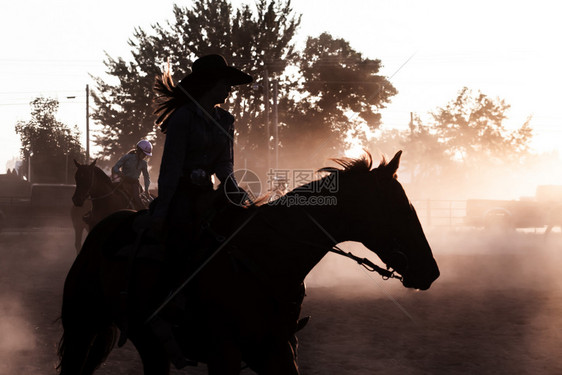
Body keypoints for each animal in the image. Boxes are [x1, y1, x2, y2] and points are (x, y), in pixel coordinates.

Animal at [59, 152, 440, 375]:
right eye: (399, 207)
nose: (432, 271)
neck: (267, 255)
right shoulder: (223, 354)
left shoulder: (277, 351)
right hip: (82, 325)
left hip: (148, 345)